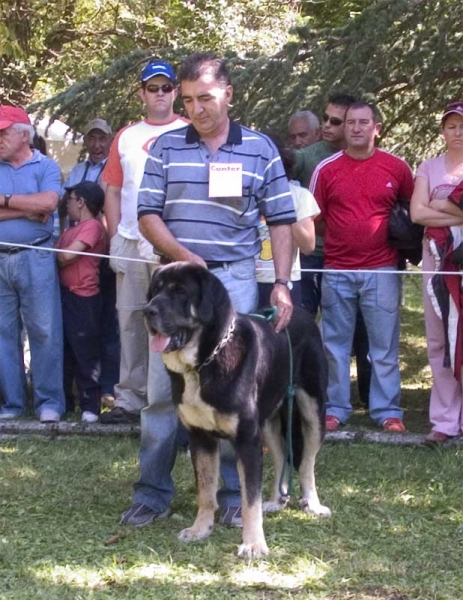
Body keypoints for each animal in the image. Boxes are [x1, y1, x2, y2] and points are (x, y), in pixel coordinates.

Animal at [145, 262, 330, 556]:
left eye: (180, 291)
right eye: (156, 290)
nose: (147, 310)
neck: (204, 363)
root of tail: (302, 314)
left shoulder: (246, 440)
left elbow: (249, 499)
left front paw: (253, 544)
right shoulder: (201, 438)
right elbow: (206, 491)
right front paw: (200, 529)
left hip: (312, 410)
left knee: (306, 463)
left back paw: (312, 503)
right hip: (268, 423)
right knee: (282, 457)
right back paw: (276, 501)